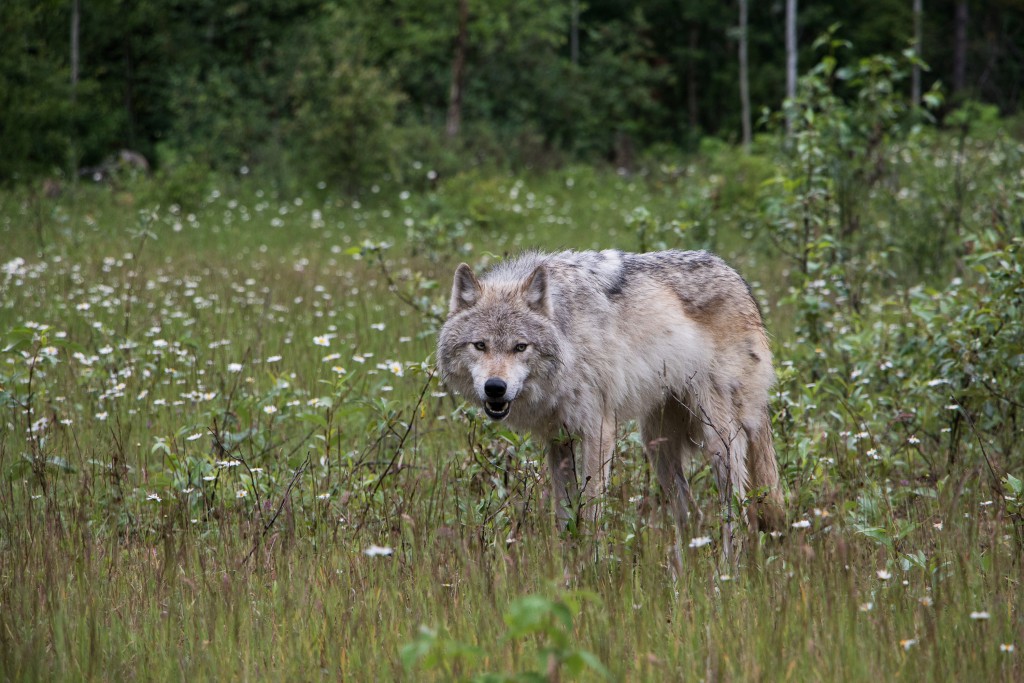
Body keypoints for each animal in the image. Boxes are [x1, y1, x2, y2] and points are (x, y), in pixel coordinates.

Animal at [434, 249, 782, 561]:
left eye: (521, 347)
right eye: (480, 345)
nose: (495, 387)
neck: (568, 338)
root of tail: (738, 279)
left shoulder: (599, 432)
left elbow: (590, 516)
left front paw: (595, 573)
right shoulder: (558, 439)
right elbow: (565, 520)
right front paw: (570, 574)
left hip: (718, 442)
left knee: (738, 514)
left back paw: (724, 578)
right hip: (657, 447)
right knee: (691, 515)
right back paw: (685, 577)